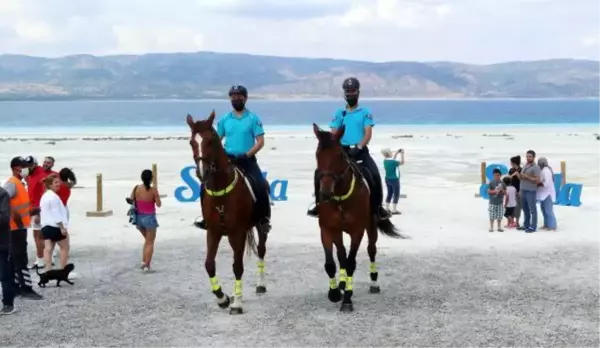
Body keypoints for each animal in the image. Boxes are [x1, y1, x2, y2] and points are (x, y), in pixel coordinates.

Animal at [186, 112, 268, 316]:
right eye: (192, 142)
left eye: (210, 141)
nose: (202, 172)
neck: (221, 193)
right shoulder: (213, 232)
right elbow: (209, 264)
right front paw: (222, 298)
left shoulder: (237, 233)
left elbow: (237, 267)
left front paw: (236, 303)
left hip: (260, 226)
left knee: (261, 251)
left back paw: (260, 285)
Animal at [312, 123, 406, 312]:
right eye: (318, 154)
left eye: (340, 155)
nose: (325, 193)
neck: (340, 199)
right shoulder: (327, 229)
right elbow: (331, 263)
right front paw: (334, 293)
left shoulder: (358, 231)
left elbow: (351, 263)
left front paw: (347, 300)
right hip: (338, 232)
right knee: (341, 253)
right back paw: (341, 284)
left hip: (371, 227)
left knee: (371, 250)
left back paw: (373, 283)